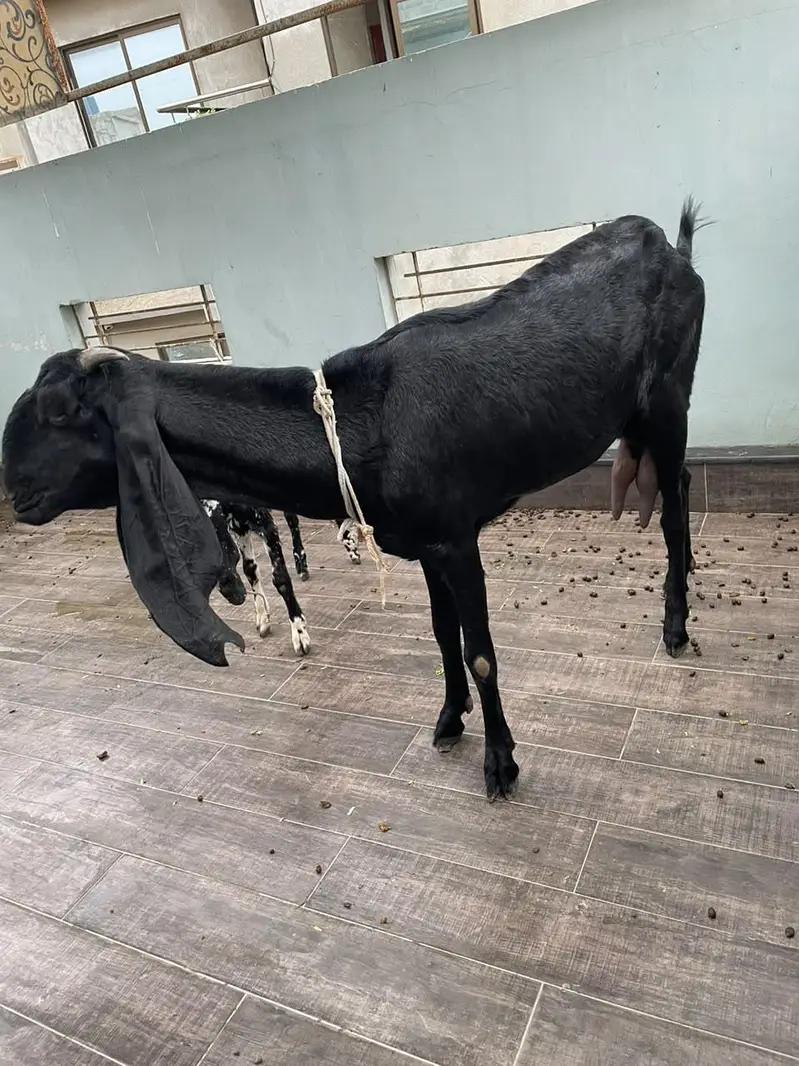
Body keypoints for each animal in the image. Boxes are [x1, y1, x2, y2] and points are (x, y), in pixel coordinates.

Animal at [2, 201, 705, 800]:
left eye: (60, 412)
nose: (15, 490)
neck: (362, 420)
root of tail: (672, 246)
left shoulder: (456, 538)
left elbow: (479, 651)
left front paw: (500, 764)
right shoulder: (425, 546)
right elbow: (442, 636)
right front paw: (449, 720)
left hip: (671, 397)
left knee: (676, 503)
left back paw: (675, 625)